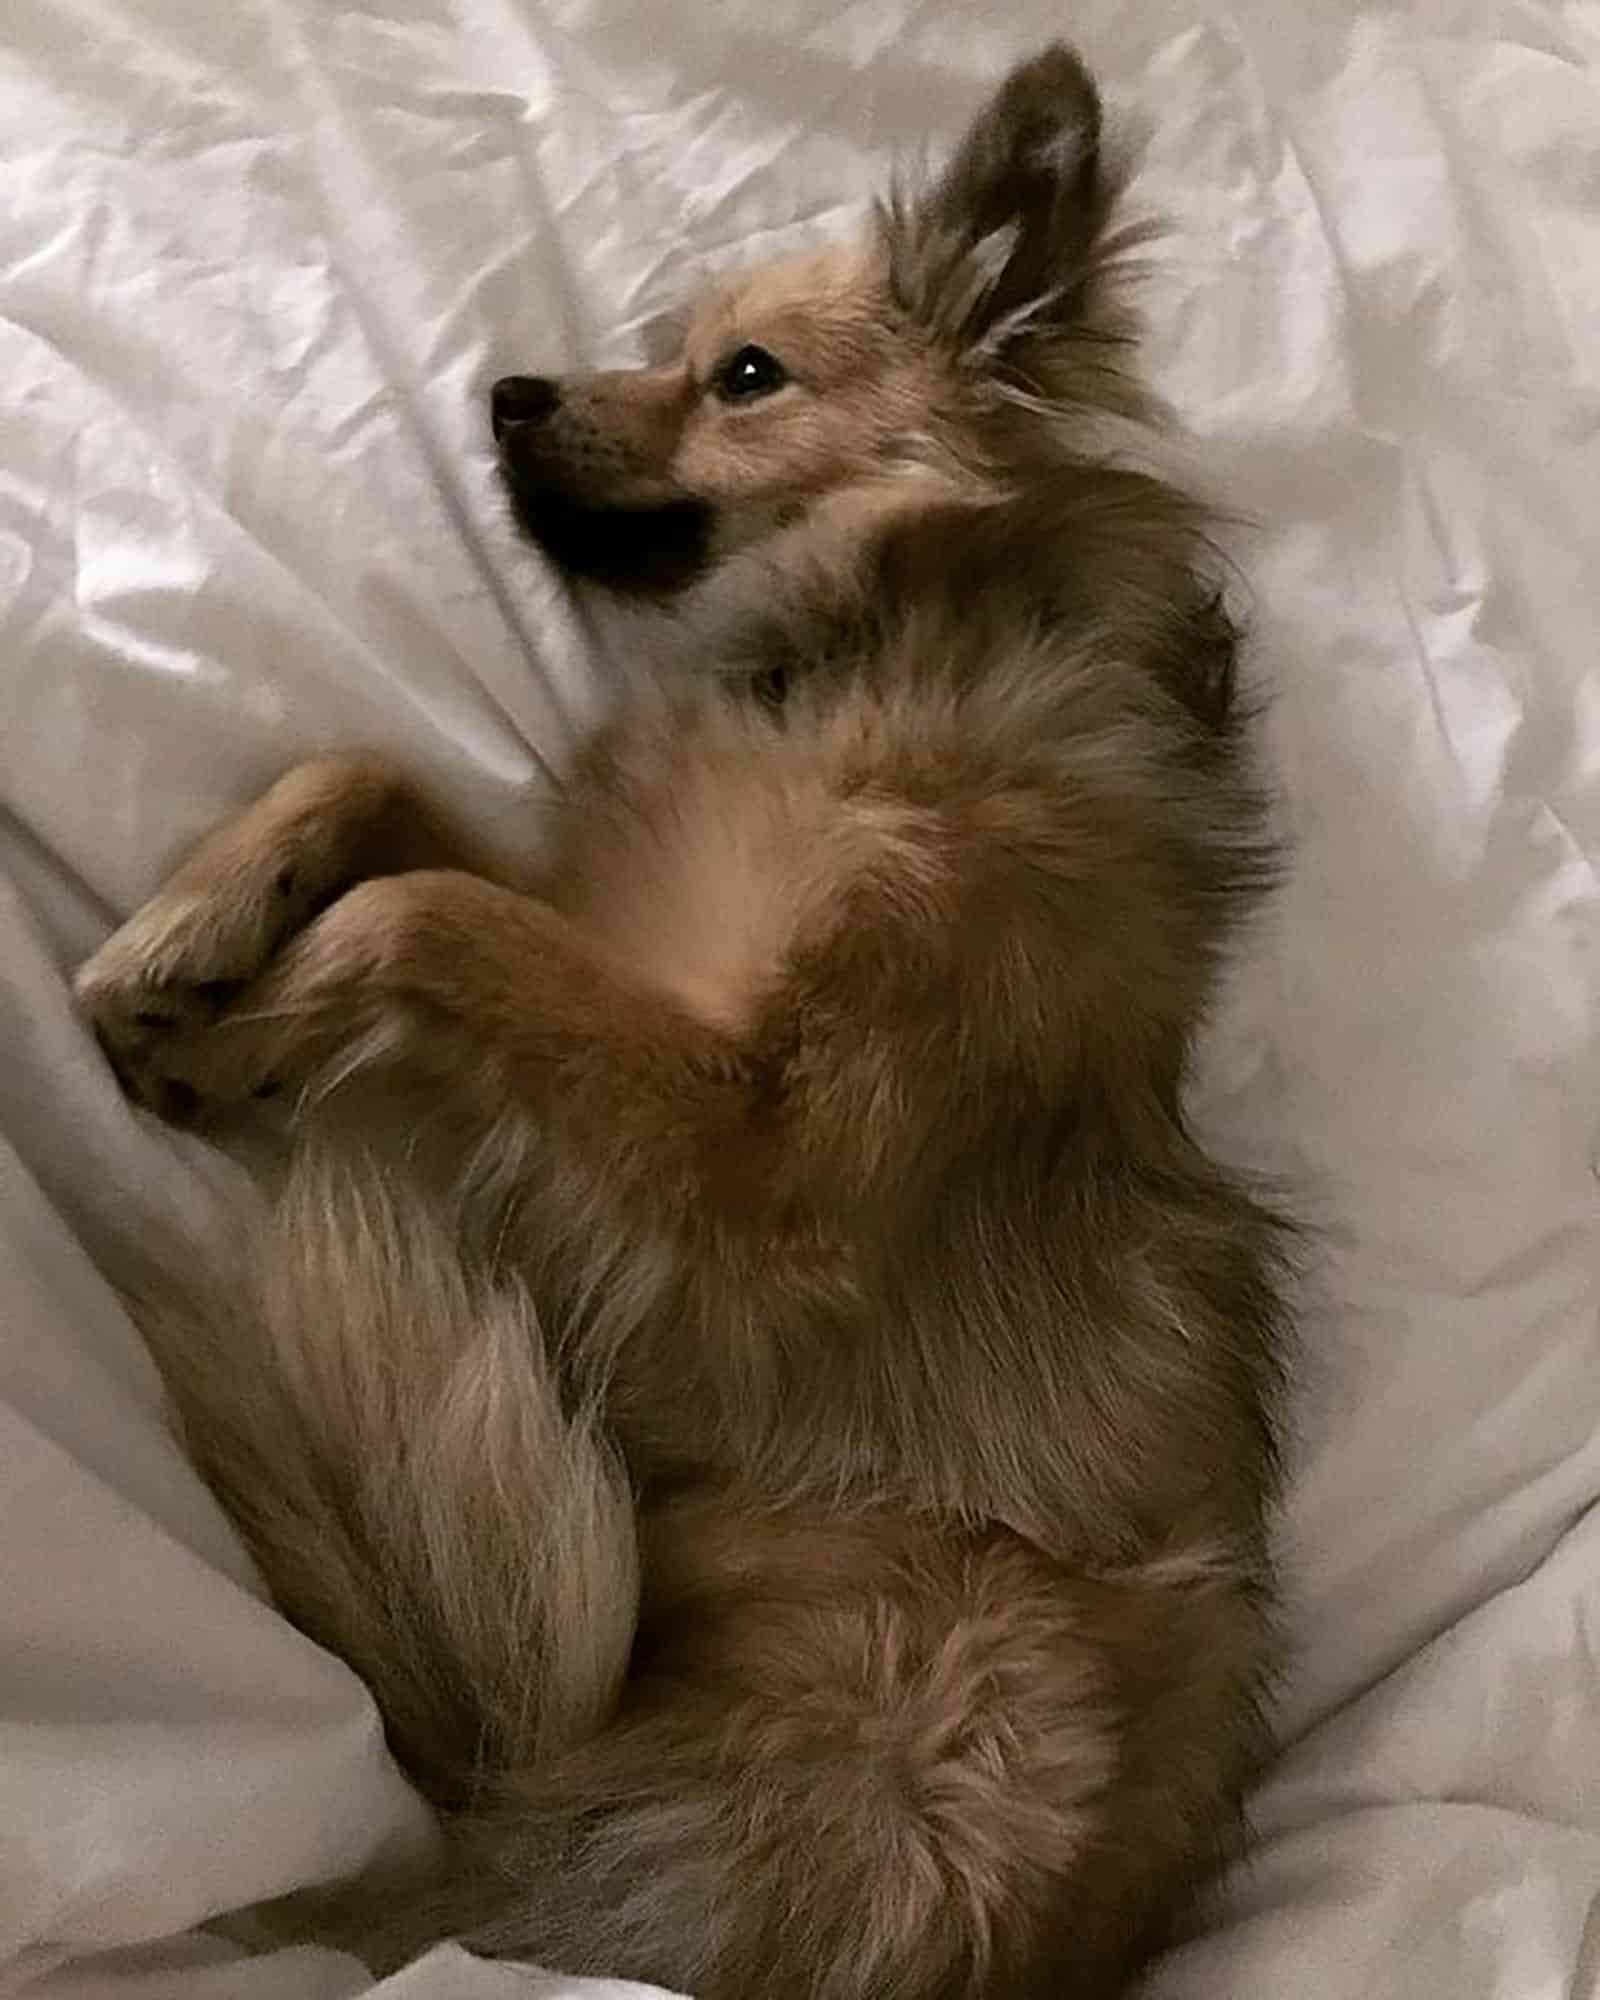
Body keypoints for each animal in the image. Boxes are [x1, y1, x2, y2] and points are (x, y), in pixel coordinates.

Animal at [78, 47, 1296, 2000]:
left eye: (746, 376)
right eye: (685, 347)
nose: (509, 389)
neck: (860, 652)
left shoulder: (773, 1148)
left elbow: (415, 915)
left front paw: (236, 1035)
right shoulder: (609, 926)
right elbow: (365, 785)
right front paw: (177, 942)